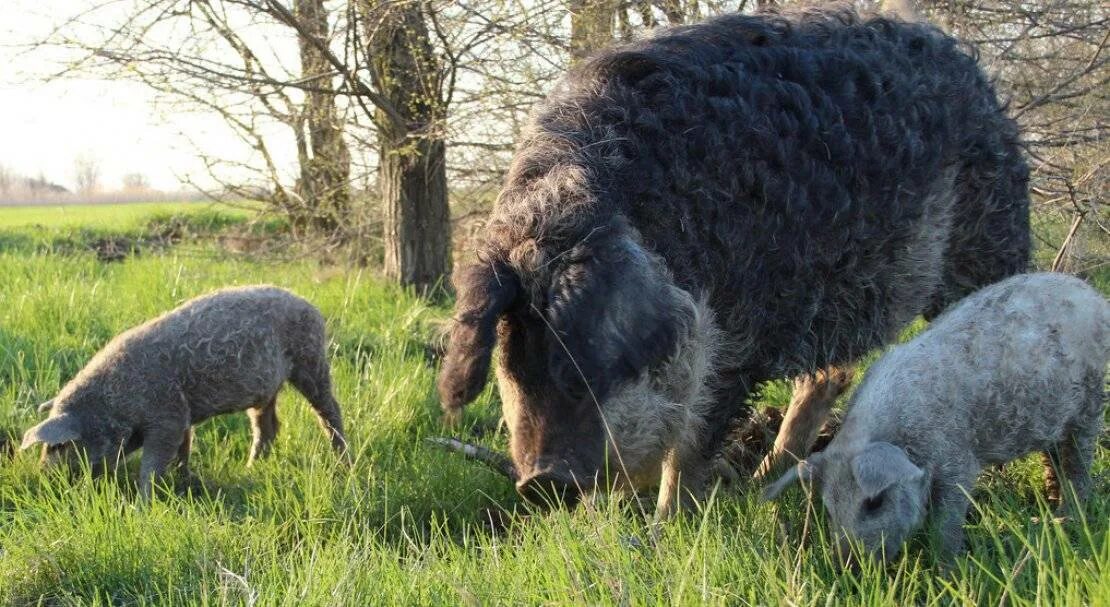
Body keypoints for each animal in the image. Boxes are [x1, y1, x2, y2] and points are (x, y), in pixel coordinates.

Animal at [435, 5, 1030, 517]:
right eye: (515, 358)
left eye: (589, 363)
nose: (540, 481)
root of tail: (971, 72)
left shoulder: (737, 336)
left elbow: (690, 446)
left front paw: (663, 528)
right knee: (829, 375)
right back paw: (761, 481)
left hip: (988, 238)